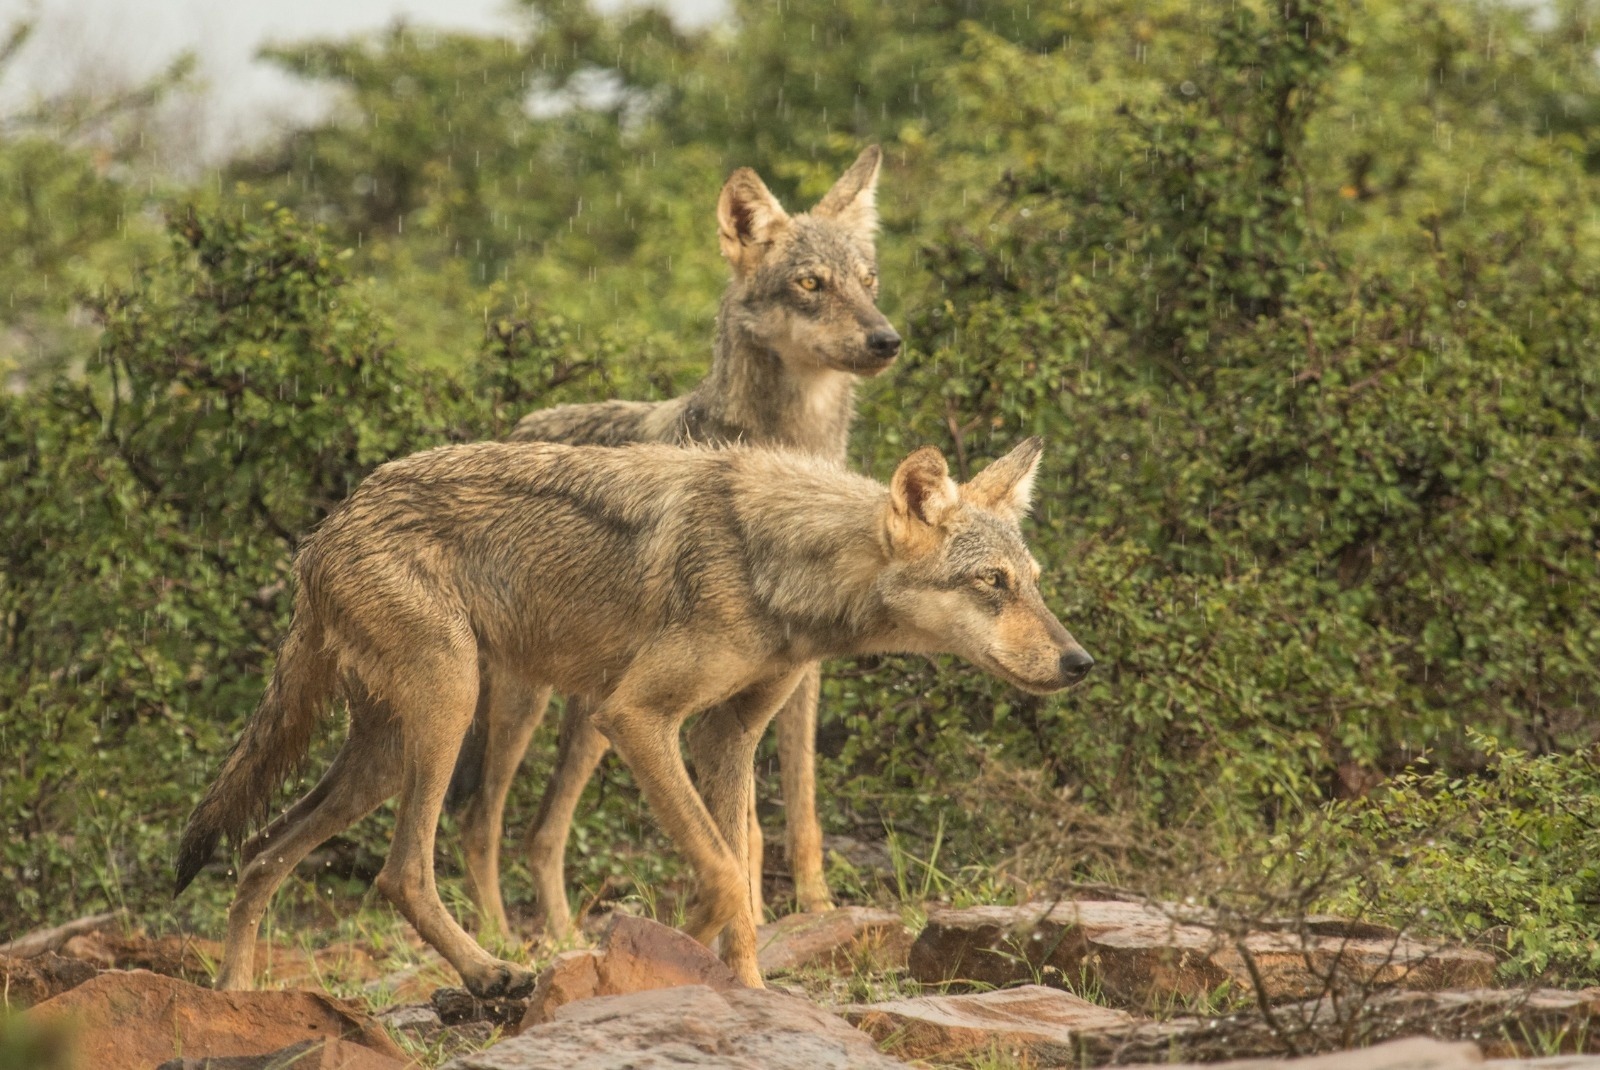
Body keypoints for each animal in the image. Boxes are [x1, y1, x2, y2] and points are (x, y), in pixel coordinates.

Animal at [178, 435, 1100, 991]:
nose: (1081, 663)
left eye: (1034, 583)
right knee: (399, 871)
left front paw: (751, 992)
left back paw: (236, 997)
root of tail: (326, 528)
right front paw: (687, 946)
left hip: (383, 754)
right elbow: (726, 871)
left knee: (260, 854)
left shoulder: (729, 735)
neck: (778, 567)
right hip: (451, 707)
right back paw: (490, 973)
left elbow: (745, 870)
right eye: (992, 584)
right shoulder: (635, 717)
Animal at [451, 143, 902, 934]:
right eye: (810, 284)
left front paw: (813, 907)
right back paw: (509, 943)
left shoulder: (801, 671)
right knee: (482, 821)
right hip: (524, 702)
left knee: (542, 830)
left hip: (593, 715)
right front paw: (751, 919)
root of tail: (517, 426)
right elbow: (745, 826)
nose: (887, 339)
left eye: (868, 281)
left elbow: (801, 805)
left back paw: (562, 940)